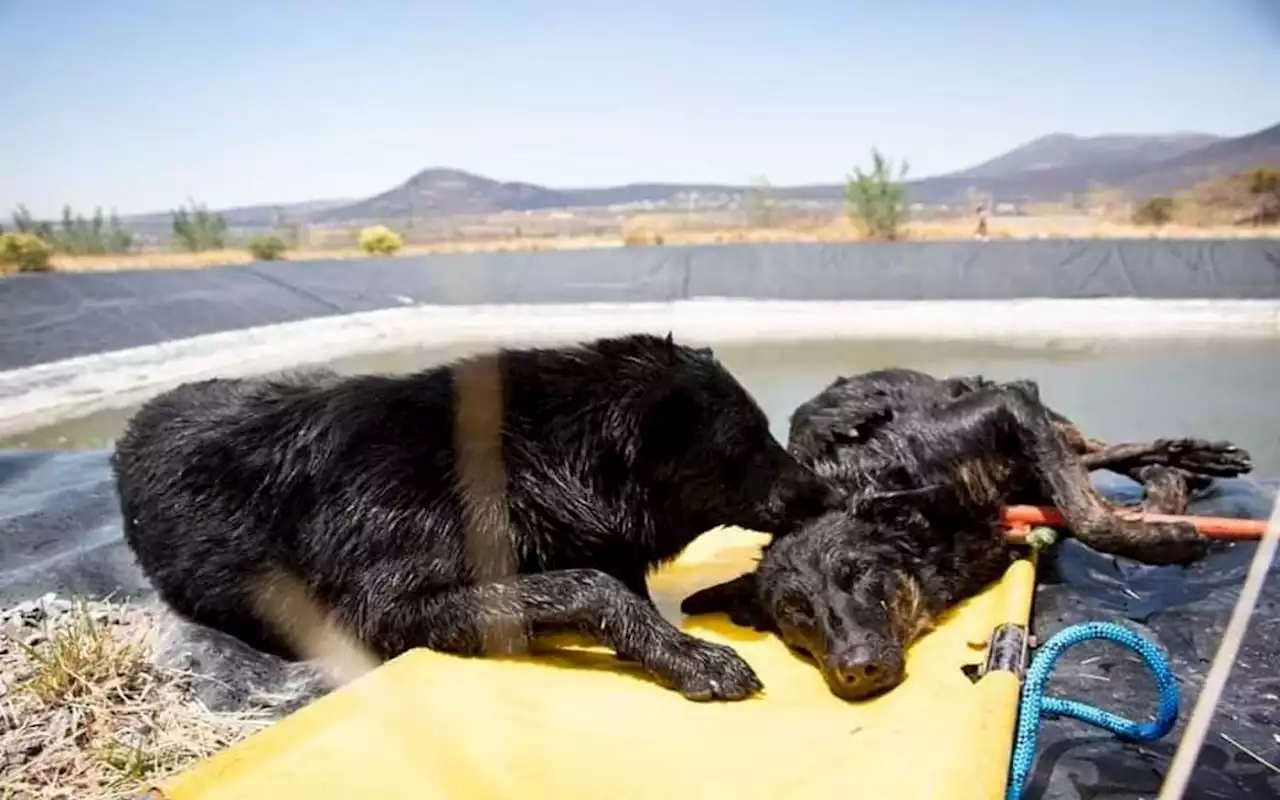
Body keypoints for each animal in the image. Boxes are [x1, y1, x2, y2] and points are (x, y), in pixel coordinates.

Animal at [115, 330, 844, 696]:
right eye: (750, 443)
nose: (830, 496)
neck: (525, 458)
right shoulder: (388, 608)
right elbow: (593, 586)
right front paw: (689, 656)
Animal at [680, 366, 1249, 696]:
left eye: (859, 573)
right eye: (793, 611)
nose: (856, 669)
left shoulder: (1008, 404)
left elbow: (1084, 511)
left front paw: (1165, 543)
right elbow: (1076, 497)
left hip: (1027, 411)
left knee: (1102, 453)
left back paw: (1183, 468)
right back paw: (1173, 478)